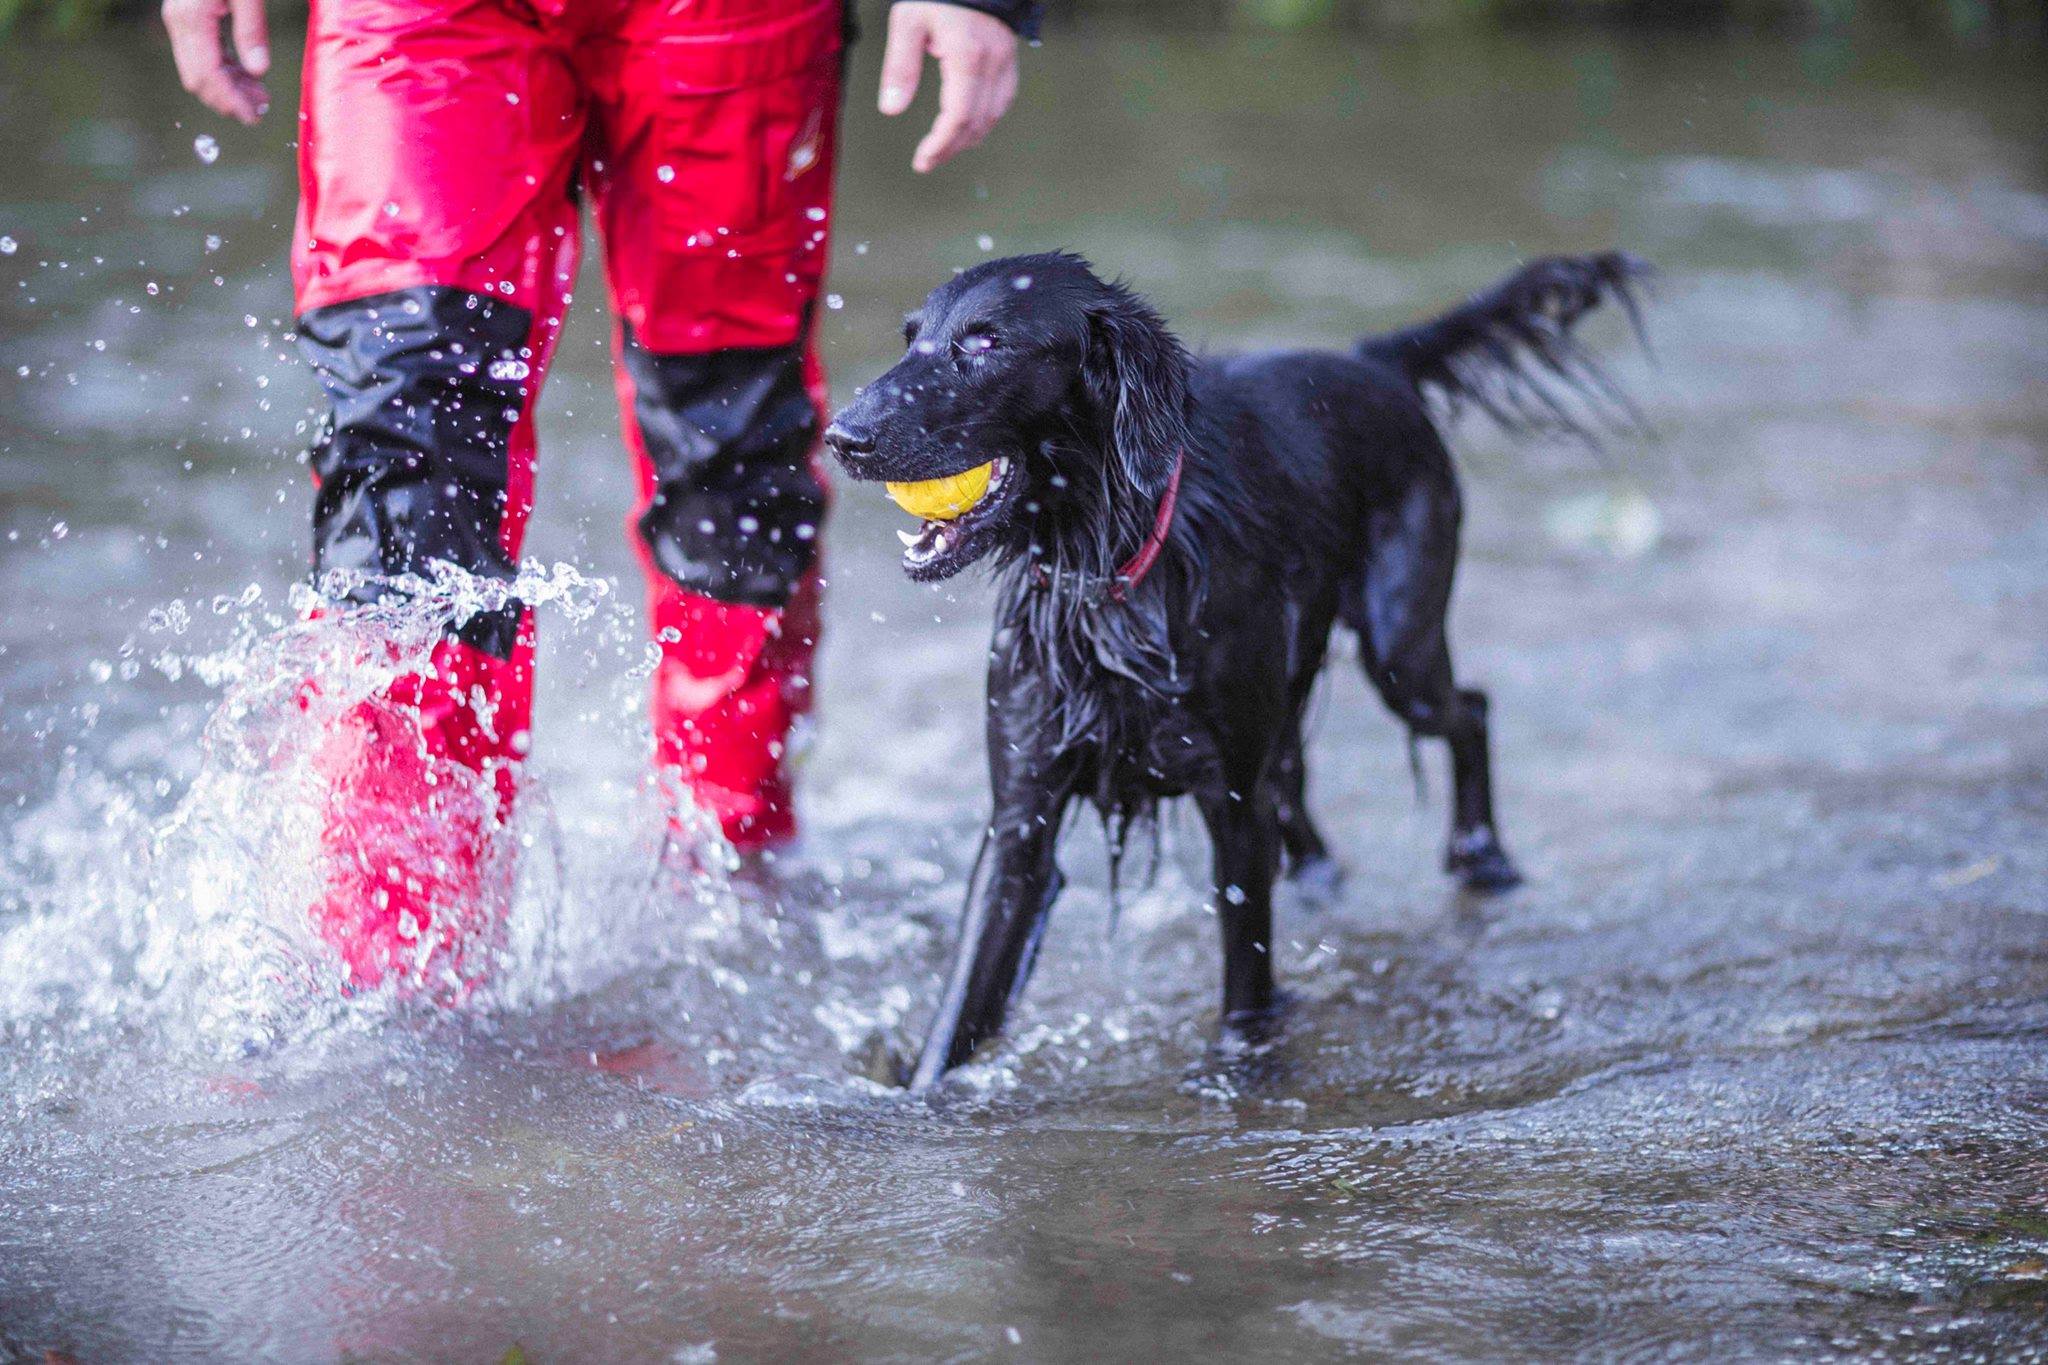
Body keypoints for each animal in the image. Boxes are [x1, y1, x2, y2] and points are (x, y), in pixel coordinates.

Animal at [823, 253, 1638, 1088]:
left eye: (986, 343)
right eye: (912, 338)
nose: (842, 437)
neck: (1110, 578)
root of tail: (1372, 361)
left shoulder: (1232, 802)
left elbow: (1245, 980)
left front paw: (1237, 1076)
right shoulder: (1020, 818)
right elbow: (959, 1012)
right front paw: (914, 1095)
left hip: (1400, 649)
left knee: (1468, 708)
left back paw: (1483, 857)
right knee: (1304, 777)